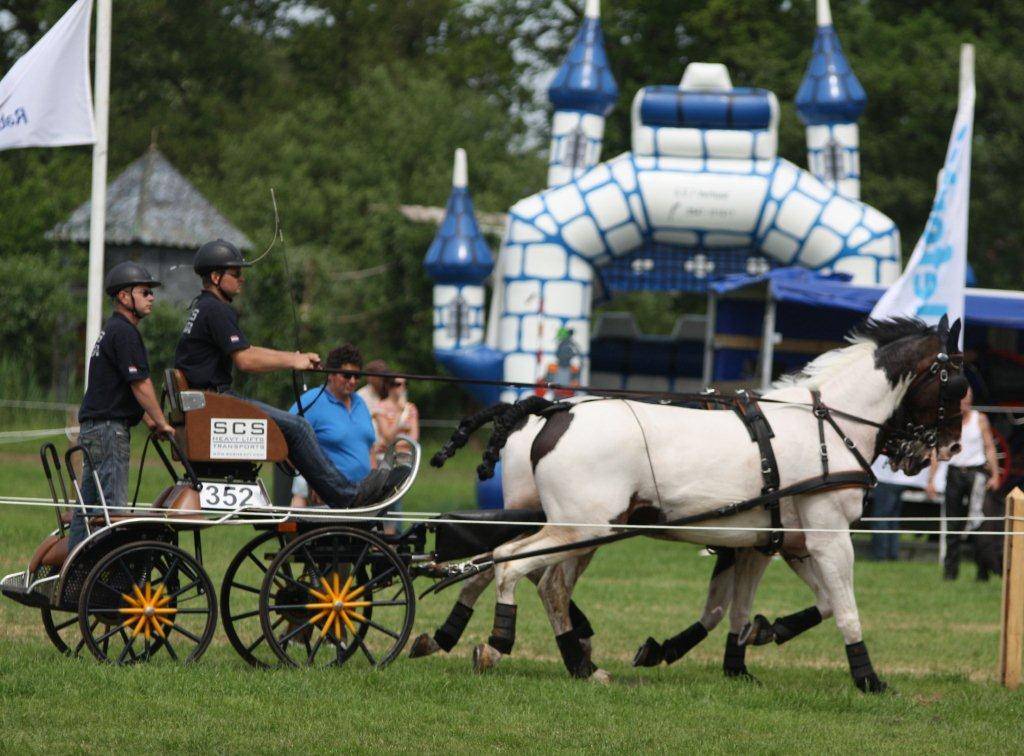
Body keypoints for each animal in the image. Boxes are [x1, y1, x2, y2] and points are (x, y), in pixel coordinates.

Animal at [461, 317, 967, 692]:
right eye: (956, 383)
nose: (950, 449)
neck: (828, 426)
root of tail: (555, 413)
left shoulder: (779, 542)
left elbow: (770, 608)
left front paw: (749, 648)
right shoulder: (829, 537)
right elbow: (844, 608)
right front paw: (868, 678)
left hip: (583, 532)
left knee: (543, 583)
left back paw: (578, 665)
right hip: (581, 529)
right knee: (511, 563)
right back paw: (499, 643)